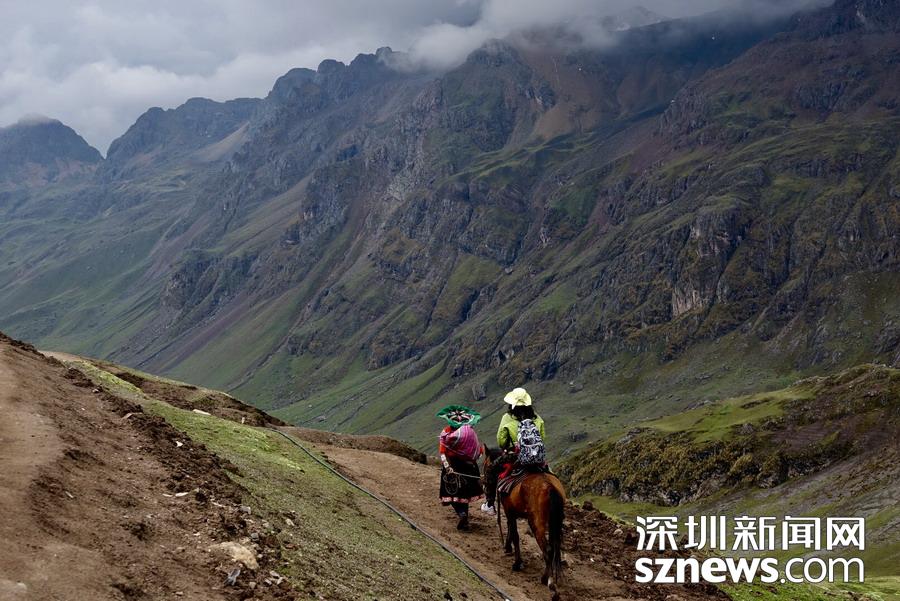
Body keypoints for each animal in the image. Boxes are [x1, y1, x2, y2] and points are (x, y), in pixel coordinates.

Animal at [483, 445, 566, 600]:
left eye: (486, 468)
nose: (488, 497)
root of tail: (549, 486)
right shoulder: (511, 512)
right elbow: (510, 530)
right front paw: (508, 548)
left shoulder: (509, 511)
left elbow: (515, 534)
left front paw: (517, 563)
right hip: (554, 522)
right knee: (553, 547)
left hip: (536, 523)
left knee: (547, 549)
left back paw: (549, 582)